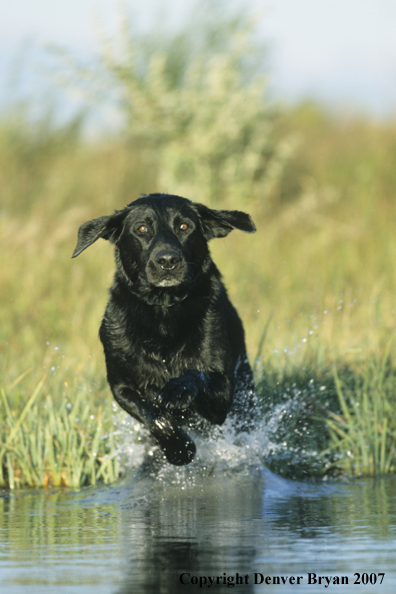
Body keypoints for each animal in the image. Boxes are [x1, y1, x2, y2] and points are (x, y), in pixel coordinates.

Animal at [72, 193, 256, 462]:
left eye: (184, 226)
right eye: (141, 229)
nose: (168, 260)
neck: (164, 309)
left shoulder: (224, 392)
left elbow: (196, 375)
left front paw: (177, 389)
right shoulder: (121, 386)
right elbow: (150, 412)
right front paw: (179, 448)